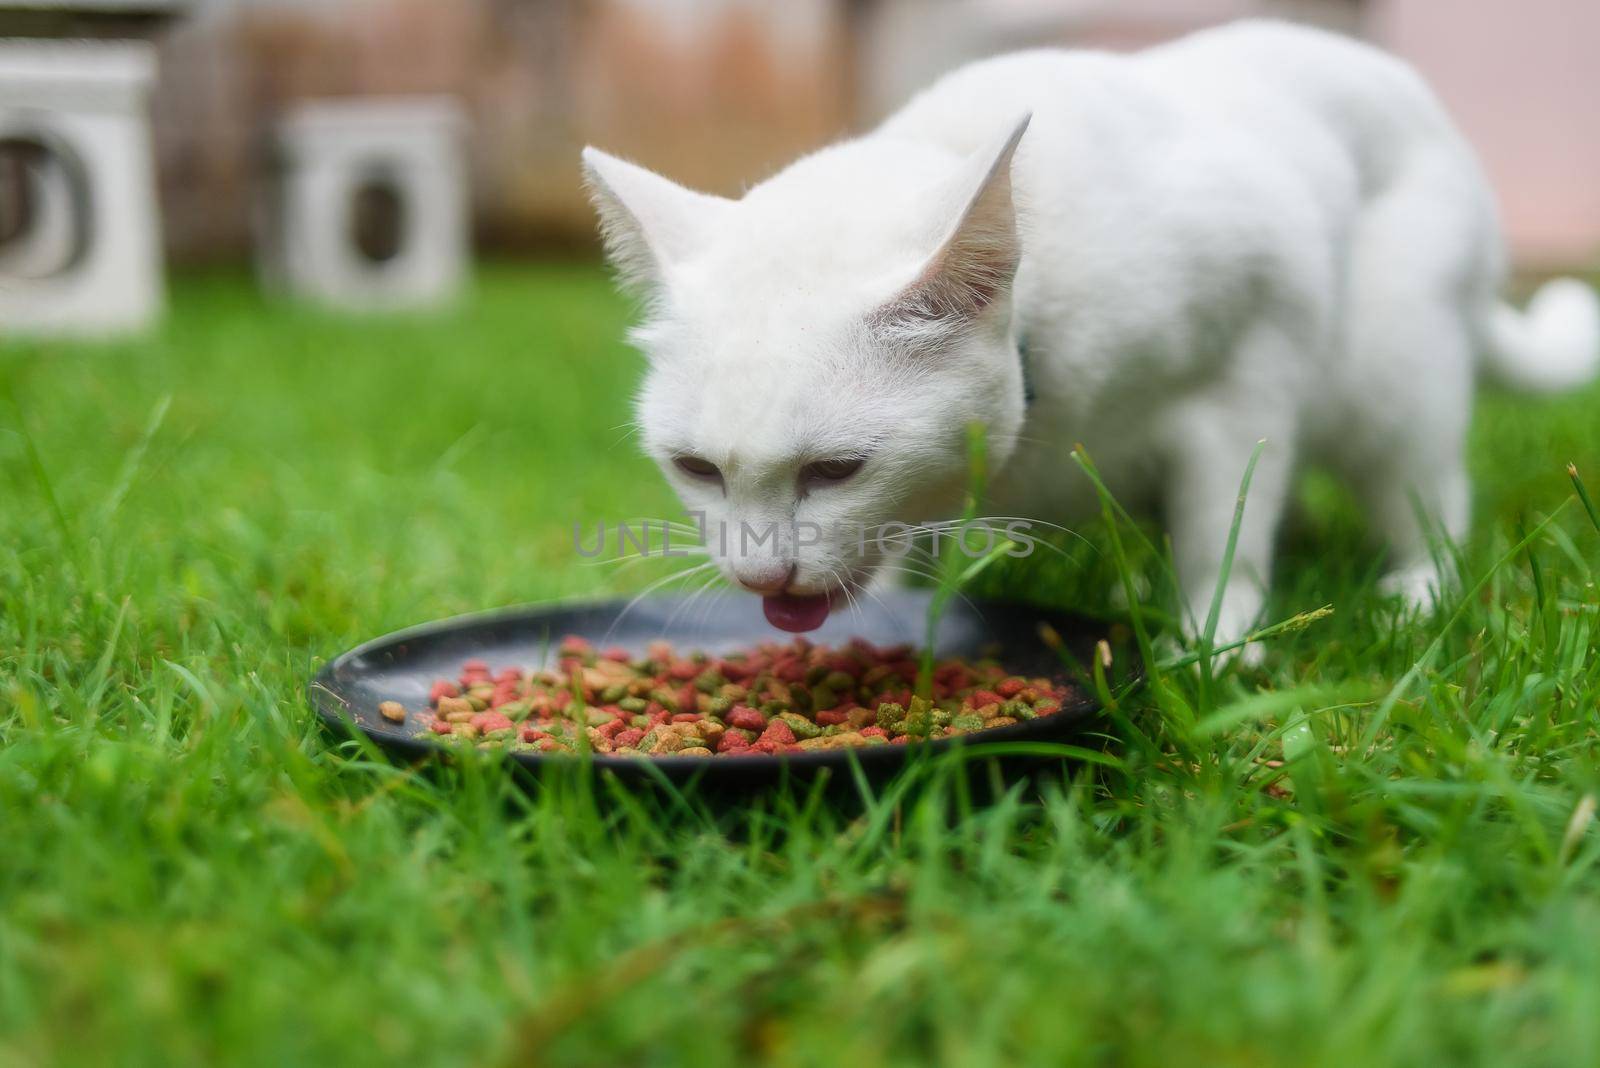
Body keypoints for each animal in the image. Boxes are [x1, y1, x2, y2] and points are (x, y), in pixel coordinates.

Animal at [585, 20, 1600, 645]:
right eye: (695, 469)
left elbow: (1224, 527)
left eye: (835, 471)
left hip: (1393, 378)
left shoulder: (1248, 367)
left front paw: (1213, 643)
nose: (762, 578)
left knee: (1427, 498)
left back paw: (1413, 598)